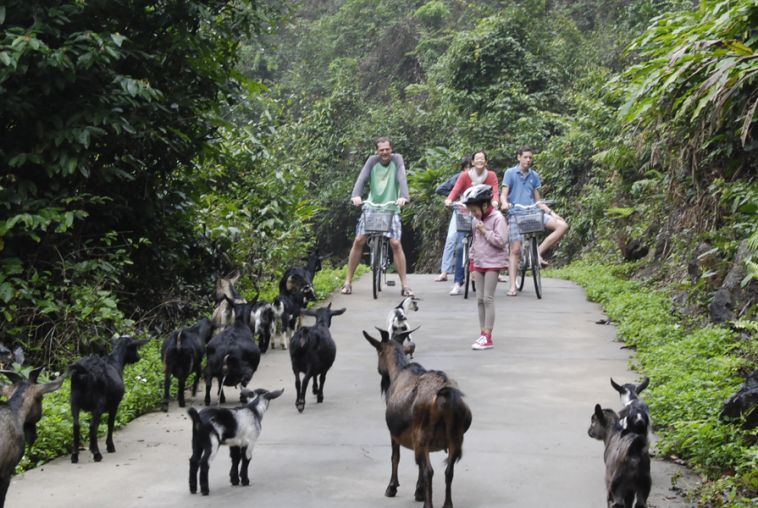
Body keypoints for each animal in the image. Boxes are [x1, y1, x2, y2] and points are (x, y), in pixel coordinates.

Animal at [366, 328, 472, 506]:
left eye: (378, 352)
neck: (398, 371)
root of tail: (445, 397)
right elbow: (419, 467)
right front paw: (419, 491)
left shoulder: (395, 434)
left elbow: (395, 457)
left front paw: (392, 488)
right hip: (455, 439)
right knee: (448, 471)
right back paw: (447, 504)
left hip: (423, 435)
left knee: (429, 471)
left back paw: (428, 505)